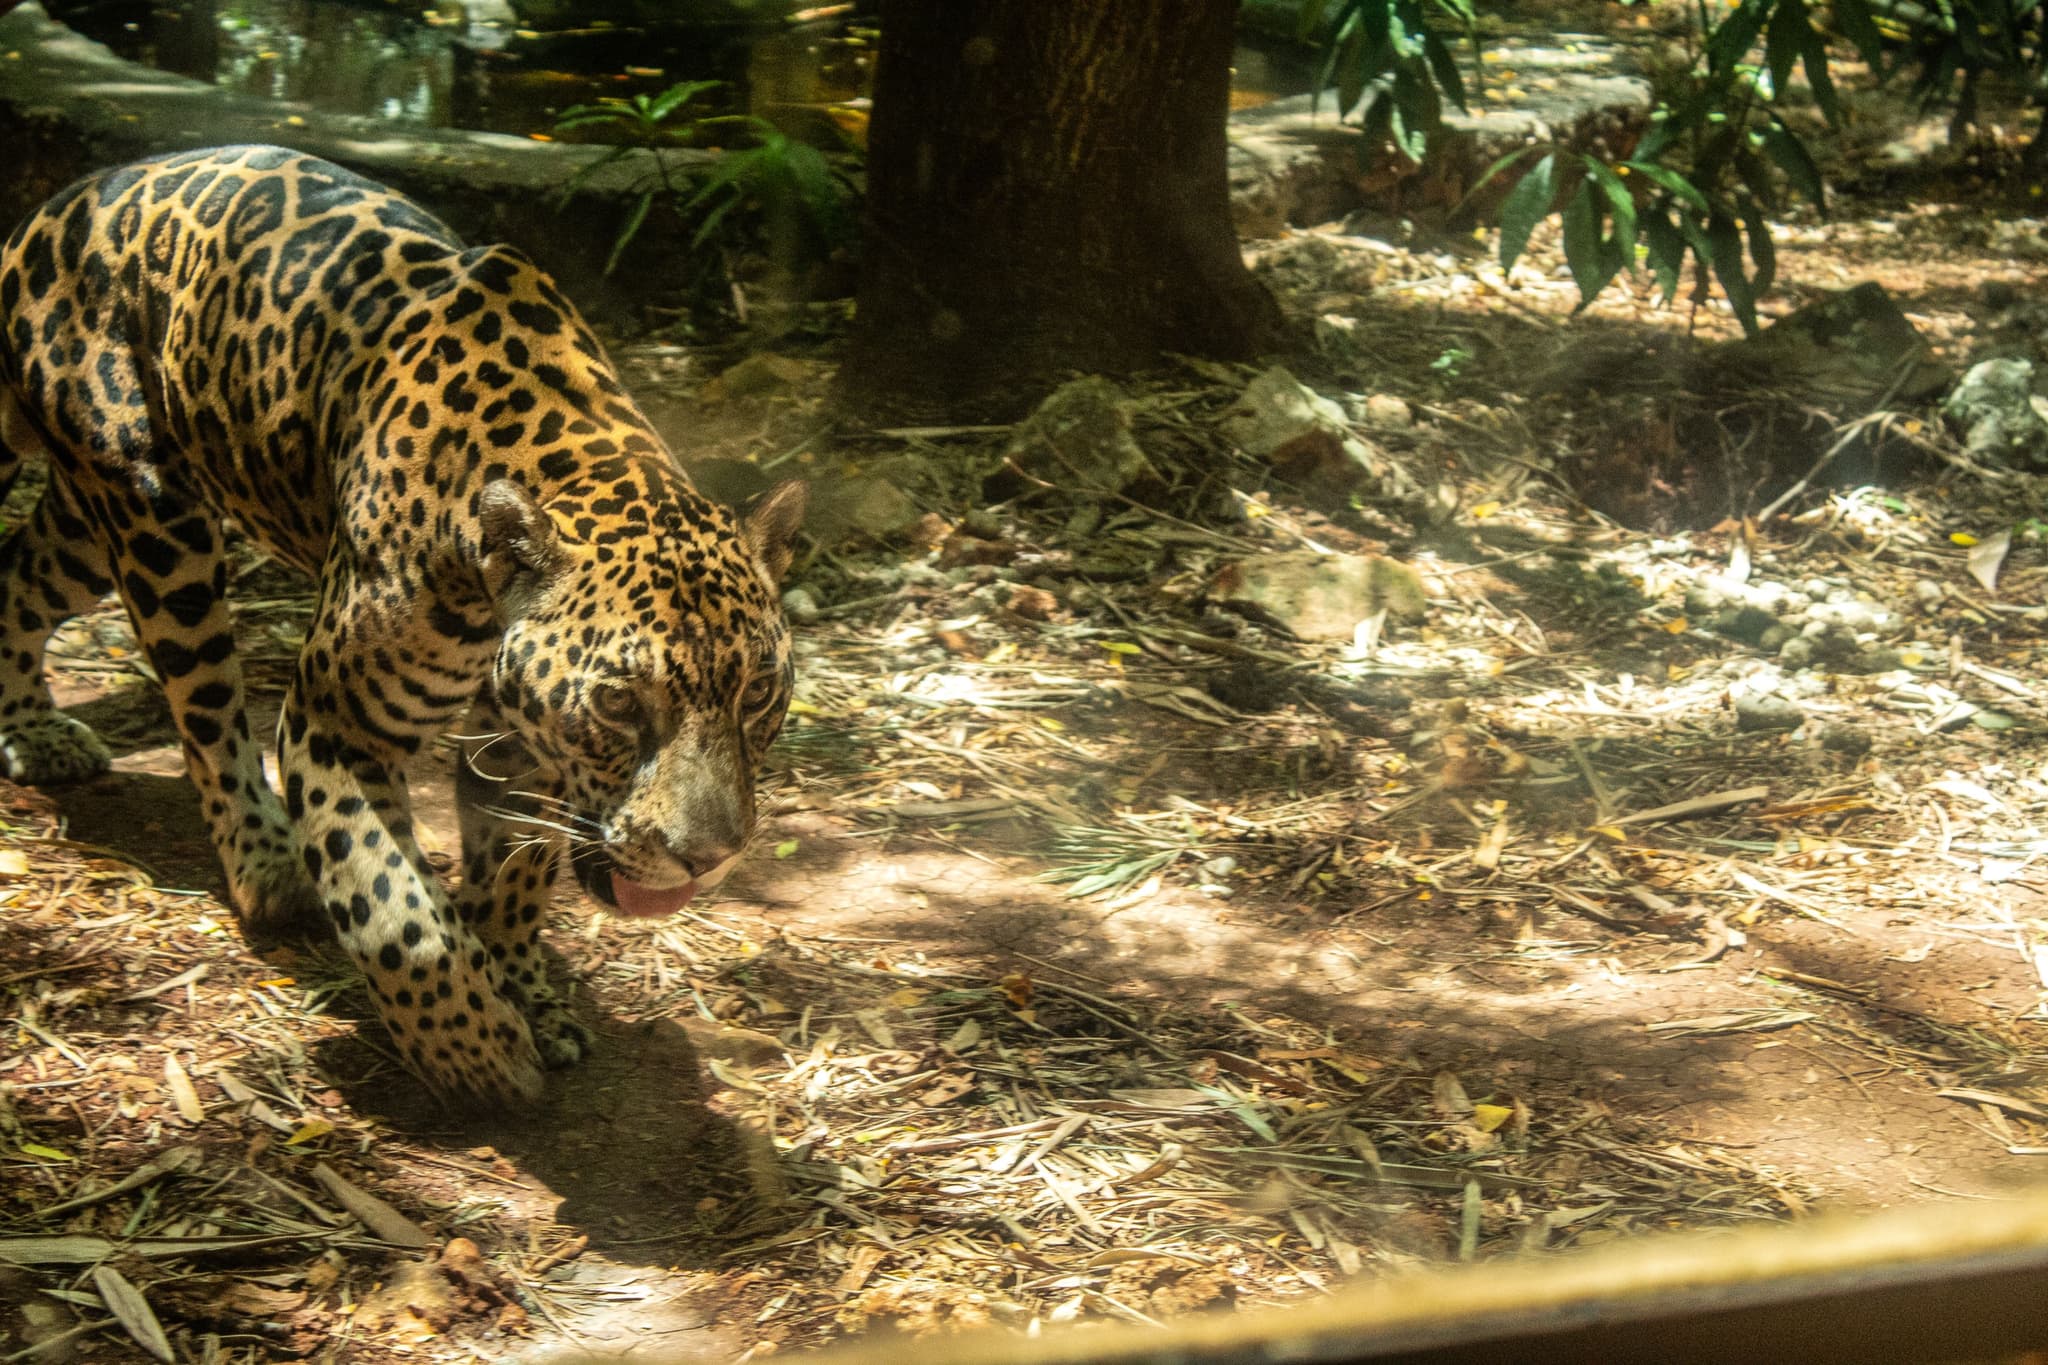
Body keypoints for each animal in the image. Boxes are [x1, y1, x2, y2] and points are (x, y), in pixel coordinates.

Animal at [0, 145, 805, 1106]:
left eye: (759, 692)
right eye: (617, 704)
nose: (708, 856)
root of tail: (51, 208)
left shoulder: (525, 743)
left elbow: (516, 869)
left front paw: (519, 985)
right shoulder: (335, 721)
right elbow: (387, 898)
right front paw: (474, 1046)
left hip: (91, 522)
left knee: (14, 568)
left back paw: (33, 731)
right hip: (154, 517)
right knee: (207, 708)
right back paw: (266, 859)